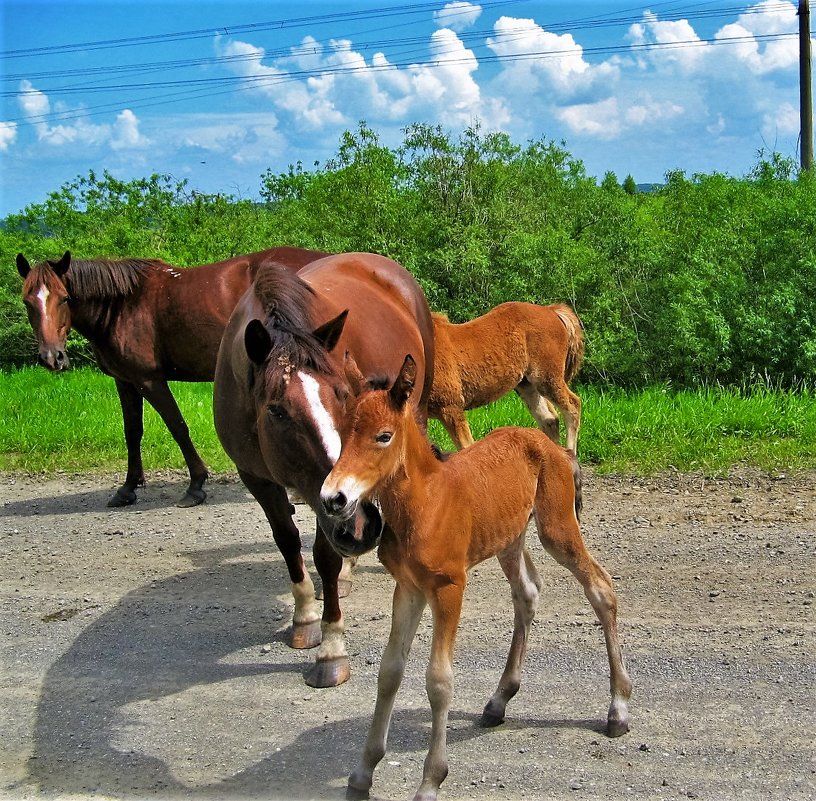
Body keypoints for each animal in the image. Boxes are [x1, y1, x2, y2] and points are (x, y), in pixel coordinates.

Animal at [15, 247, 326, 506]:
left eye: (64, 299)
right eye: (27, 302)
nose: (52, 358)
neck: (121, 306)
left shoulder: (148, 380)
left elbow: (177, 426)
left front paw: (195, 485)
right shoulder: (125, 381)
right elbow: (132, 431)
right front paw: (128, 488)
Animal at [214, 252, 436, 688]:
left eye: (343, 393)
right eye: (277, 410)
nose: (361, 525)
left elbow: (325, 555)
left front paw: (332, 649)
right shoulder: (257, 477)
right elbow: (286, 540)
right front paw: (304, 617)